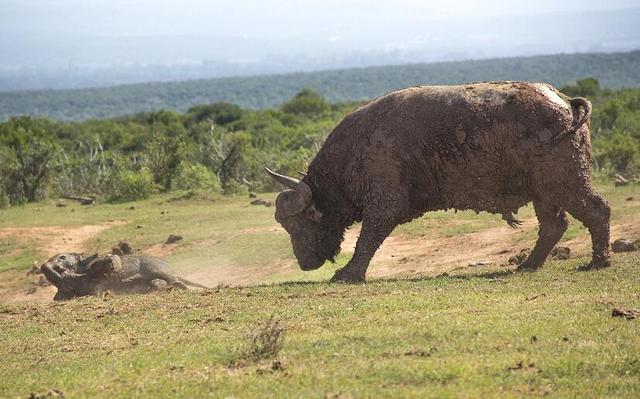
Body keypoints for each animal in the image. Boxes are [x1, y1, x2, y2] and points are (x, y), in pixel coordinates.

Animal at [40, 255, 209, 302]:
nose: (44, 266)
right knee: (160, 283)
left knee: (177, 282)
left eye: (62, 257)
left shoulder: (97, 288)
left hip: (158, 270)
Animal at [264, 81, 608, 282]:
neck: (356, 148)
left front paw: (348, 274)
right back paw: (528, 265)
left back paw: (598, 262)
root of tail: (566, 101)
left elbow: (367, 240)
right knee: (554, 225)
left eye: (302, 223)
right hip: (544, 191)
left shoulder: (383, 205)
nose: (304, 263)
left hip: (565, 181)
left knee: (597, 210)